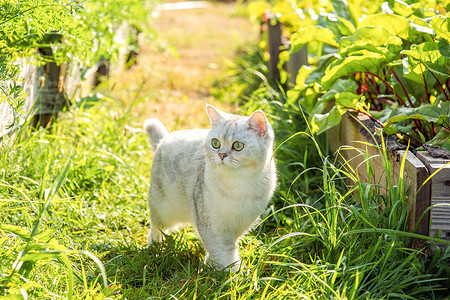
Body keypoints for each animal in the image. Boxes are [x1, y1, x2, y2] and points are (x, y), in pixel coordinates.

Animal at [144, 104, 276, 270]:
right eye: (216, 143)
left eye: (238, 146)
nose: (221, 155)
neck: (238, 184)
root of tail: (165, 138)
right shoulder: (211, 226)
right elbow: (222, 251)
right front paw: (229, 271)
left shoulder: (241, 224)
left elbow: (225, 248)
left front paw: (212, 266)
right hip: (162, 208)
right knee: (156, 228)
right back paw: (154, 247)